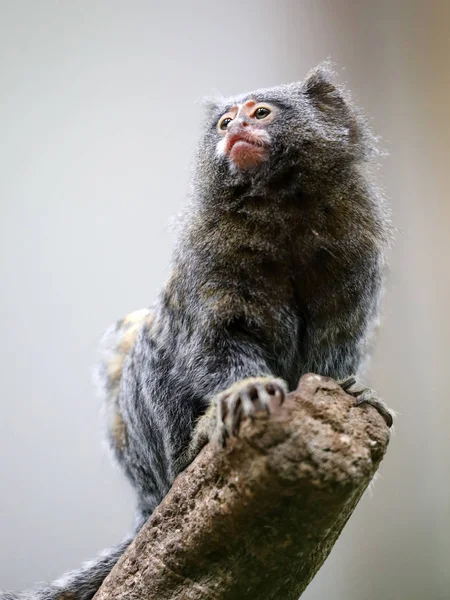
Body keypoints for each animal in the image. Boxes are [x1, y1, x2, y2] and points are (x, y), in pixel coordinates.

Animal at [0, 62, 392, 600]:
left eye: (260, 113)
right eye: (224, 122)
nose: (237, 129)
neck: (282, 210)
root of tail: (146, 501)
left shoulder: (355, 255)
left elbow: (336, 344)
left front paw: (349, 389)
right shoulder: (207, 258)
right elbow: (211, 341)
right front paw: (246, 391)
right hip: (155, 466)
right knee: (148, 342)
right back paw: (191, 451)